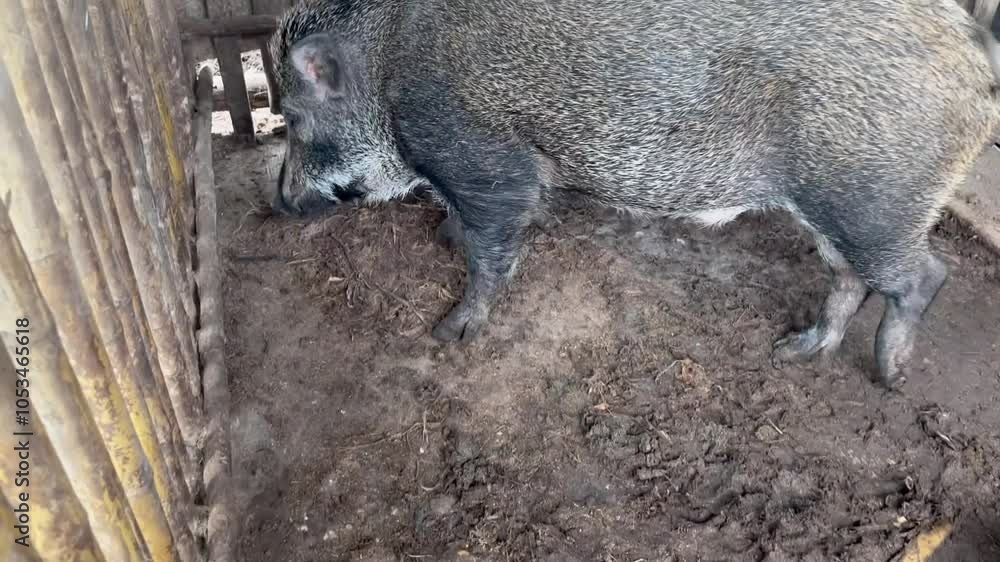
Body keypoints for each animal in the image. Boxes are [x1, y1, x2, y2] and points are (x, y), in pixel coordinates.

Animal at [269, 0, 1000, 387]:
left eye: (293, 118)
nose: (278, 202)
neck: (386, 72)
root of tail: (974, 54)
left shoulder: (484, 156)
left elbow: (492, 250)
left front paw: (451, 332)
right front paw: (443, 236)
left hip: (875, 202)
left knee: (926, 275)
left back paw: (889, 376)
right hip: (842, 212)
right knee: (848, 276)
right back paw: (796, 350)